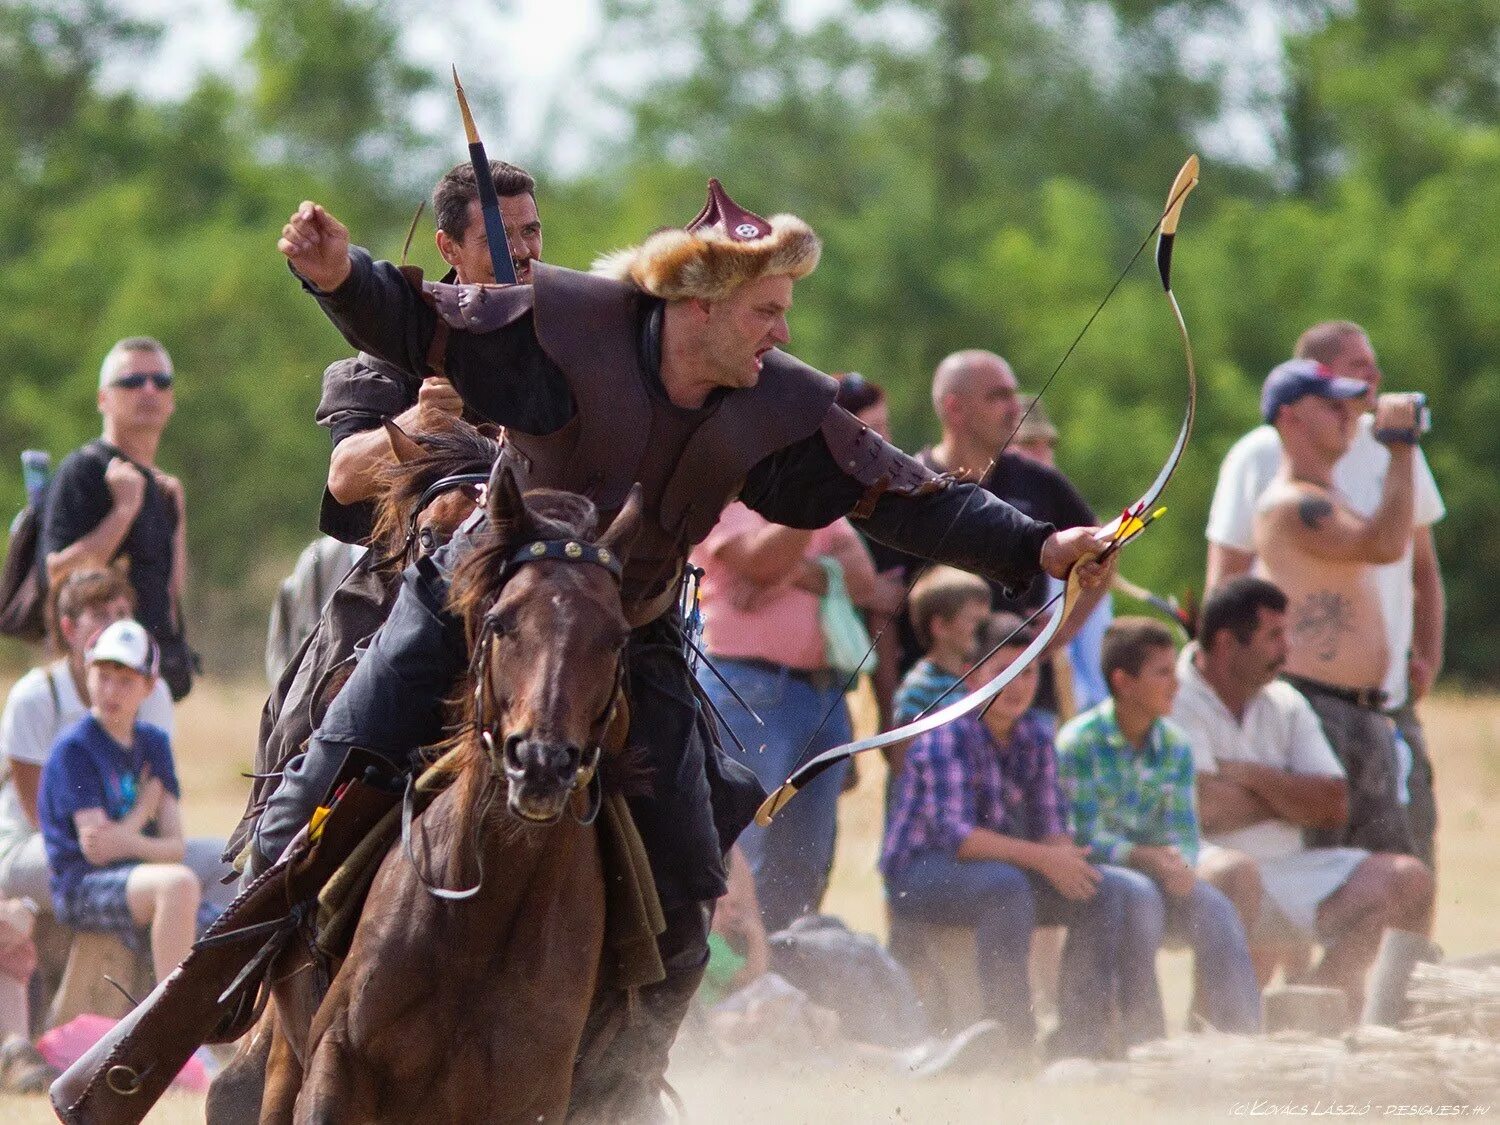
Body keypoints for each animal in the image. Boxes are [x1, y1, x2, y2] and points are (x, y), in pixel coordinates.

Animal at [252, 468, 639, 1125]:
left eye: (615, 639)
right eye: (502, 621)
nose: (541, 763)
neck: (482, 921)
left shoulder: (529, 1103)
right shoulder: (335, 1066)